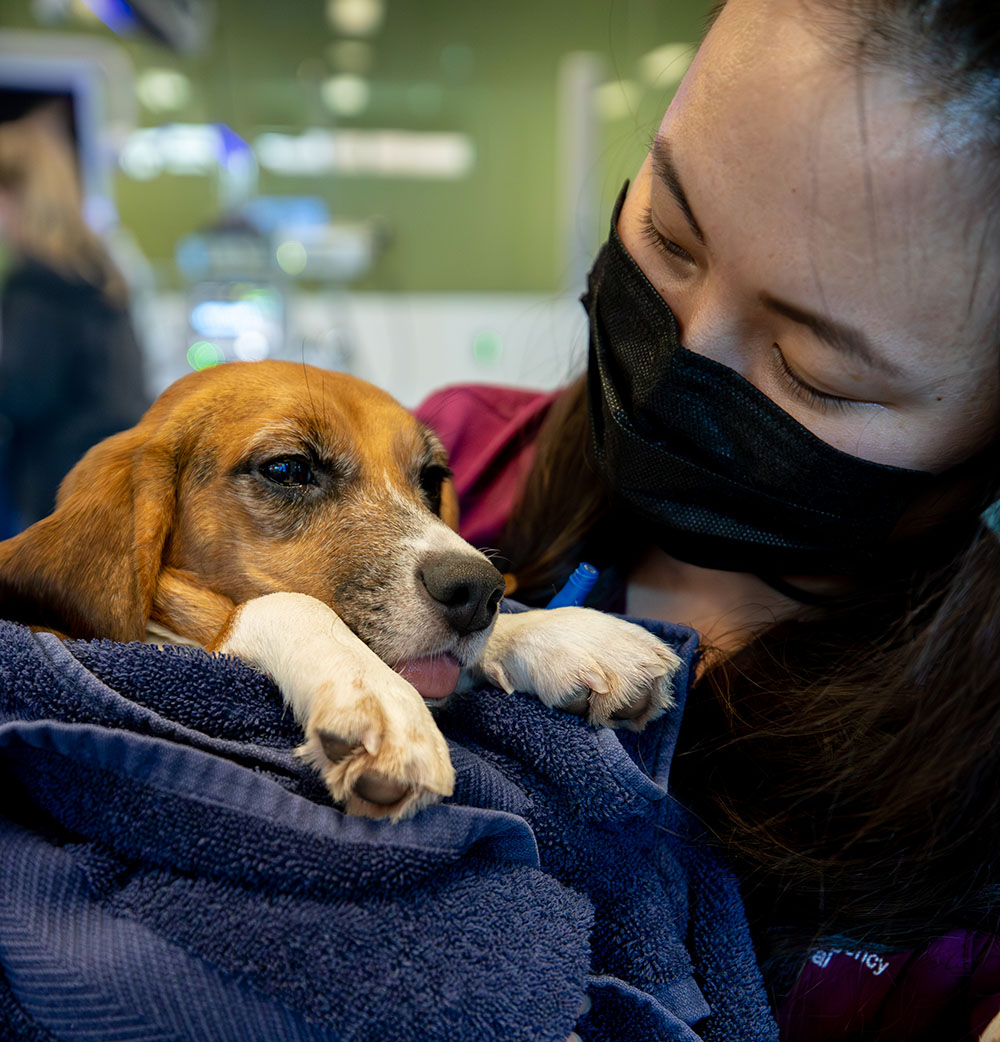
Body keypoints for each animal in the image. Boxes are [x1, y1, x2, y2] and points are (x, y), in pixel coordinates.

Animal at [0, 362, 679, 816]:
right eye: (287, 469)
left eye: (433, 479)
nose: (476, 591)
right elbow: (286, 605)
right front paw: (375, 693)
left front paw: (560, 634)